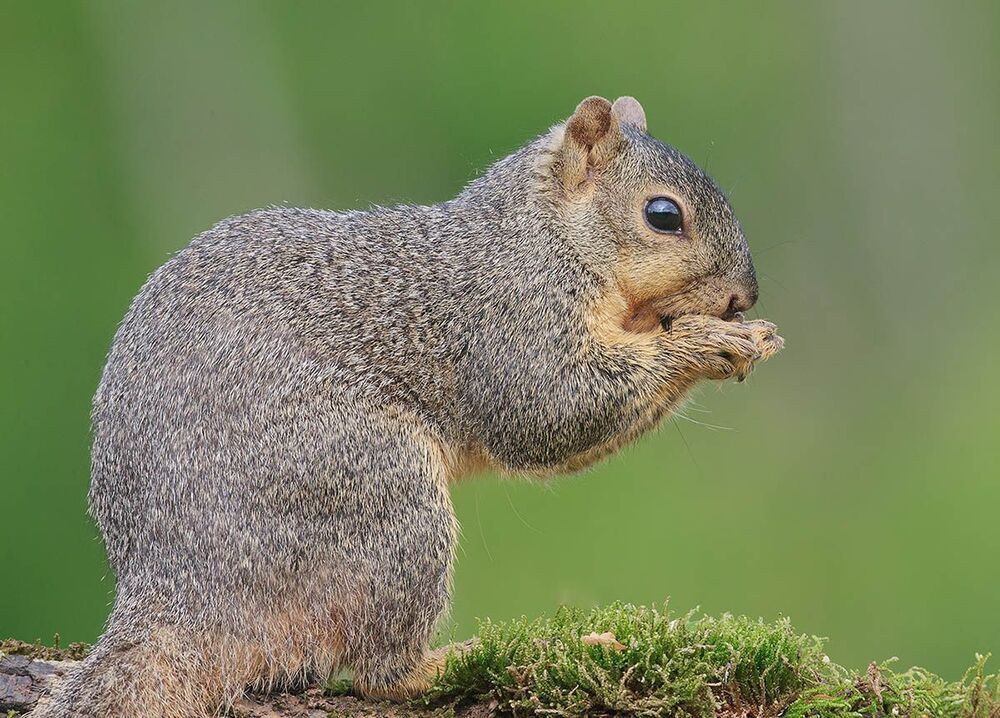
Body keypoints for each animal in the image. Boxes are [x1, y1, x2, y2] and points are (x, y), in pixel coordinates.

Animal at [32, 96, 782, 717]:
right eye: (664, 215)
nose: (742, 297)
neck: (544, 235)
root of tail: (180, 587)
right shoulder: (513, 318)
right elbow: (548, 410)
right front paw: (706, 343)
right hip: (381, 498)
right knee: (375, 673)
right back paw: (466, 660)